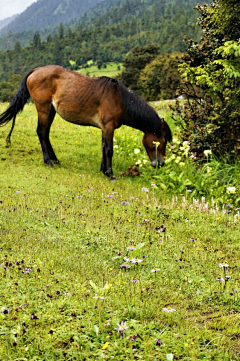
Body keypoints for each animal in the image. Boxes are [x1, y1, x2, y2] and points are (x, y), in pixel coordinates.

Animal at [0, 65, 172, 179]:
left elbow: (103, 147)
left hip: (51, 110)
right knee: (42, 132)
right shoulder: (109, 126)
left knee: (46, 133)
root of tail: (35, 70)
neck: (120, 100)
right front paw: (110, 174)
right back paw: (48, 161)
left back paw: (55, 159)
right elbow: (109, 149)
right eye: (162, 141)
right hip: (43, 108)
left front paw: (103, 170)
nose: (161, 163)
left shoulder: (105, 128)